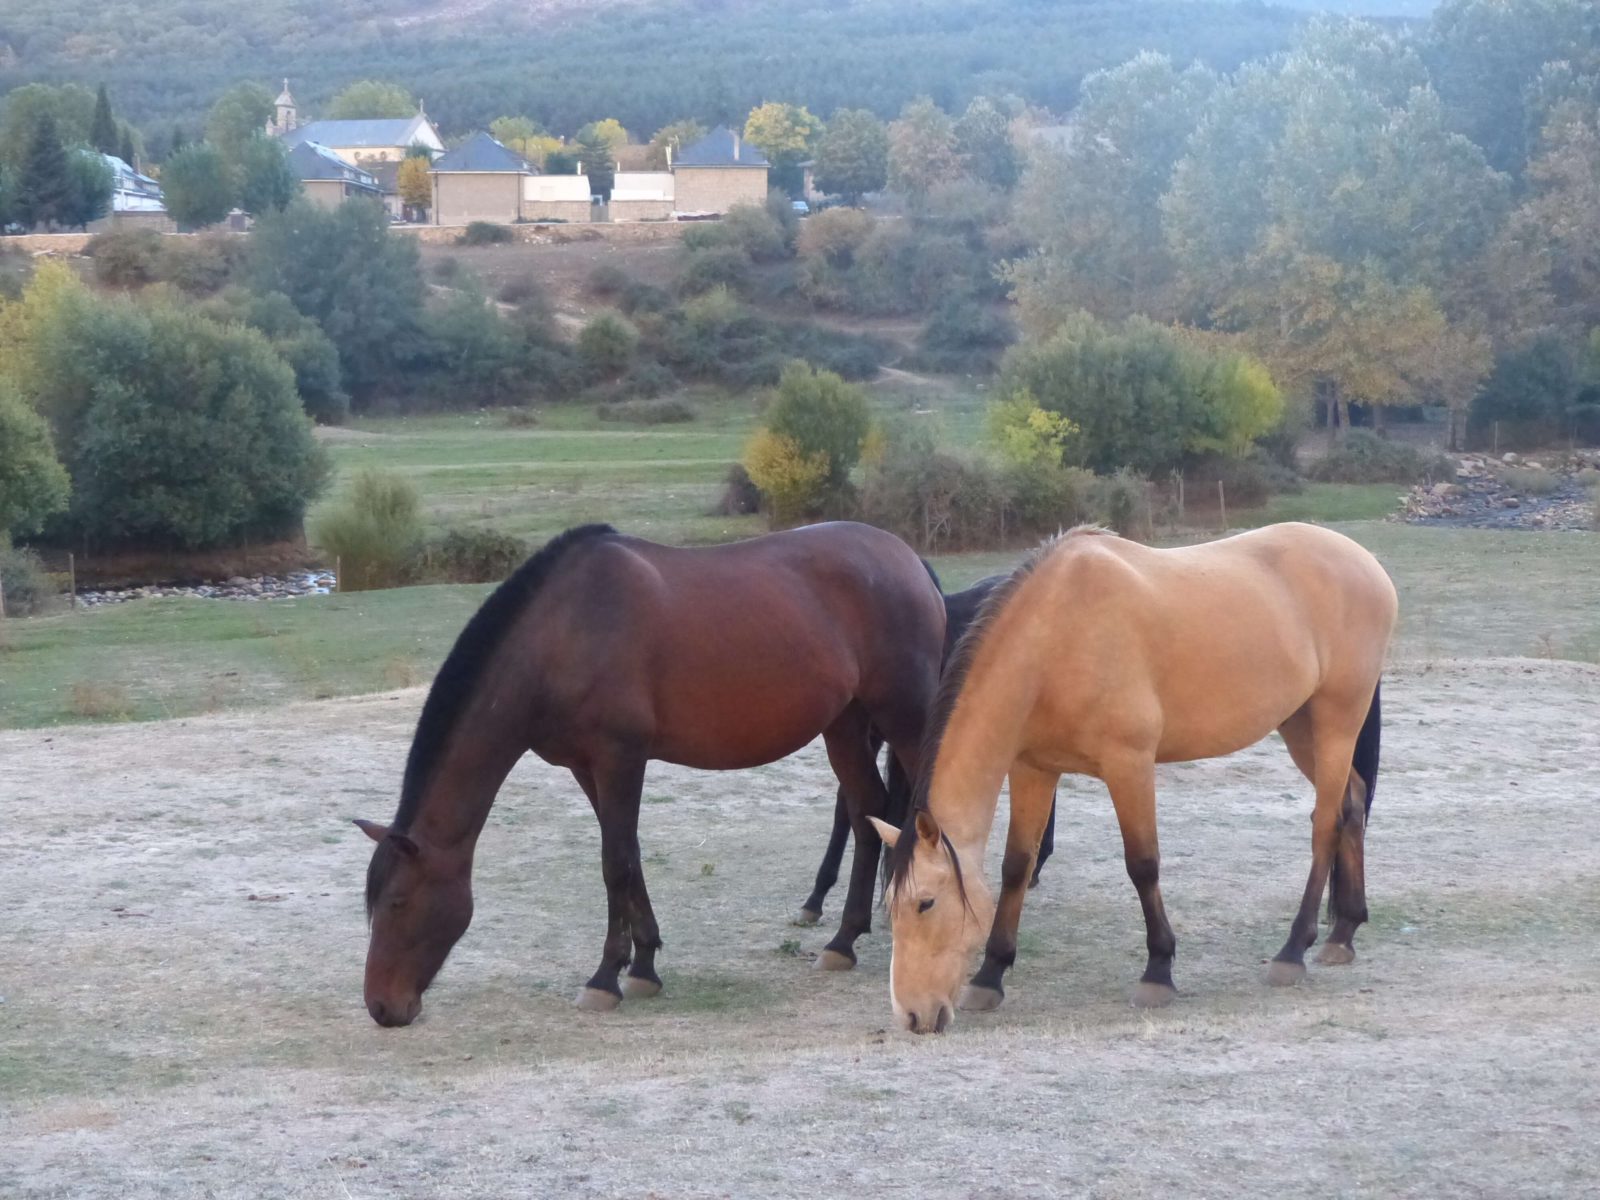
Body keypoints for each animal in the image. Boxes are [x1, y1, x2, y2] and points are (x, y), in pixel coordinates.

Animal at [355, 521, 940, 1030]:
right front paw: (643, 966)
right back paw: (843, 941)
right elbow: (630, 856)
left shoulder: (620, 758)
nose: (382, 1007)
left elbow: (614, 863)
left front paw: (604, 978)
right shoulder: (587, 767)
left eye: (398, 902)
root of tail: (909, 560)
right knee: (866, 811)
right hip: (845, 724)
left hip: (904, 716)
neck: (562, 632)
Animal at [870, 521, 1395, 1036]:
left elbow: (1142, 864)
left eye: (925, 903)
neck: (1056, 635)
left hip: (1336, 720)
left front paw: (1158, 972)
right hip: (1300, 725)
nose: (912, 1015)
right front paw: (989, 977)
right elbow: (1016, 866)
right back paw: (1344, 933)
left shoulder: (1130, 765)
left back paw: (1293, 950)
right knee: (1351, 802)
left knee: (1326, 823)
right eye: (890, 906)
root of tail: (1366, 562)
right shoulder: (1034, 769)